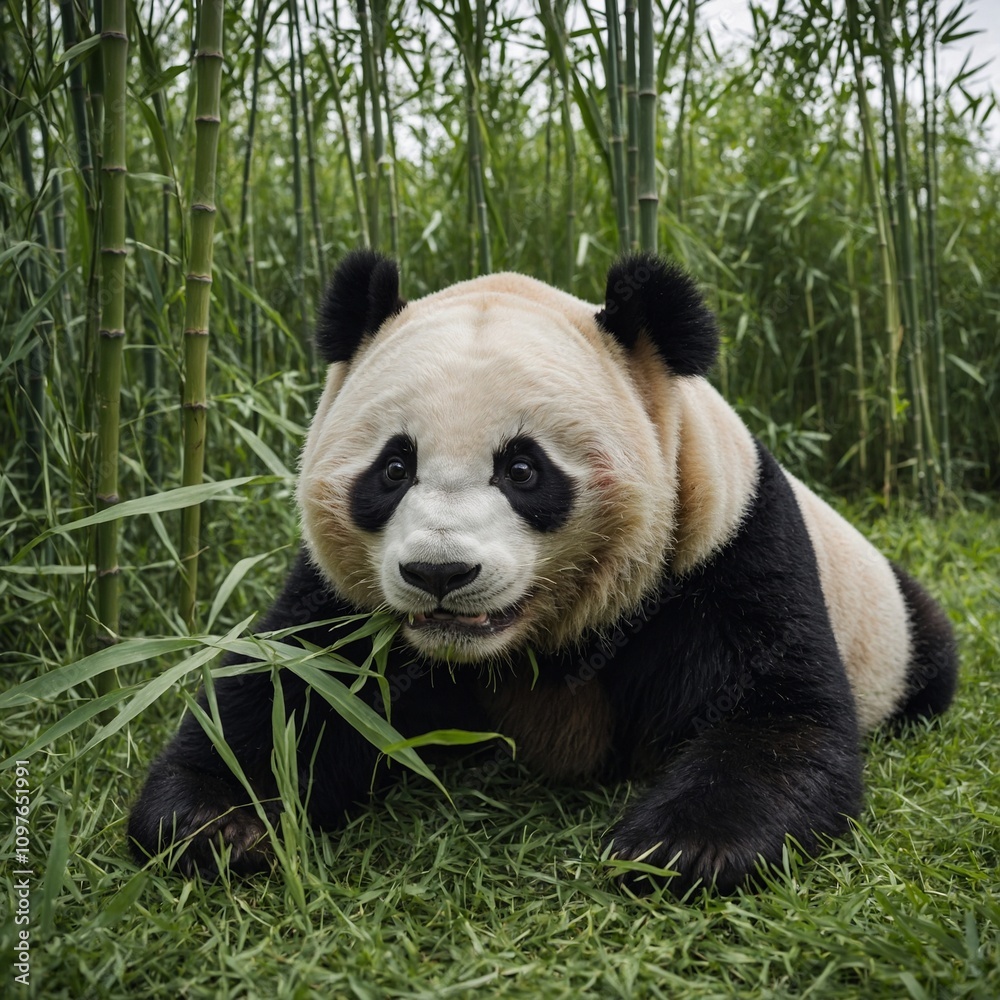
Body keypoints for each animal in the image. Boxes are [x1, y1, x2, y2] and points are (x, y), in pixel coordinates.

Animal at [128, 250, 957, 894]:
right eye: (394, 468)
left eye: (524, 469)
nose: (439, 572)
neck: (522, 647)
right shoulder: (343, 600)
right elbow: (291, 691)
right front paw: (215, 823)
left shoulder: (723, 553)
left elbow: (779, 713)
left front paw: (681, 848)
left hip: (898, 627)